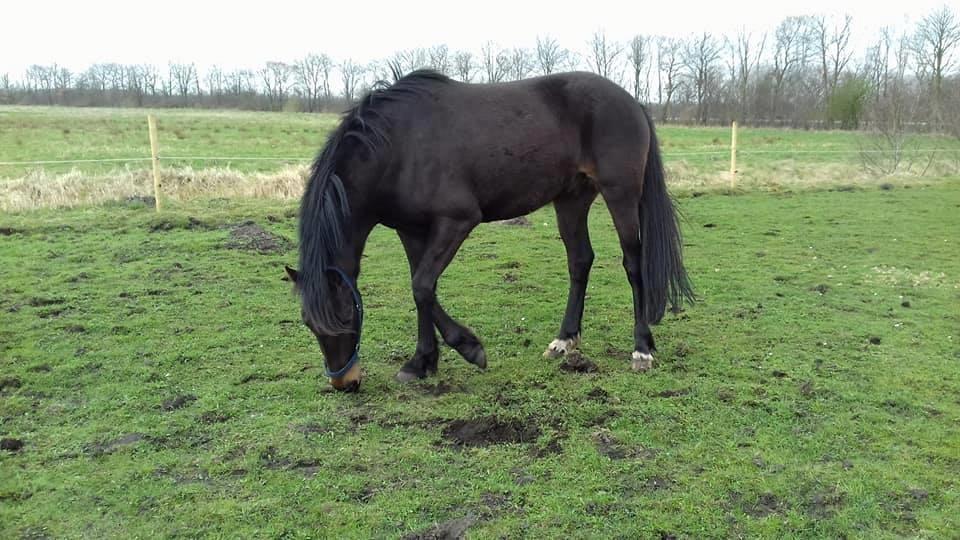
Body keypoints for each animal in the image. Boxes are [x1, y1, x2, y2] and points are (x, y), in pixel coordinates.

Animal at [285, 70, 693, 392]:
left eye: (344, 316)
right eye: (307, 322)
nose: (345, 382)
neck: (398, 146)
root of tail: (632, 100)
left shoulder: (457, 221)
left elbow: (422, 286)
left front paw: (470, 349)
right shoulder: (411, 231)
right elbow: (422, 291)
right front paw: (421, 362)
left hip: (621, 193)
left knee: (633, 264)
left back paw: (641, 348)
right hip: (571, 199)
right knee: (580, 261)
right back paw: (564, 340)